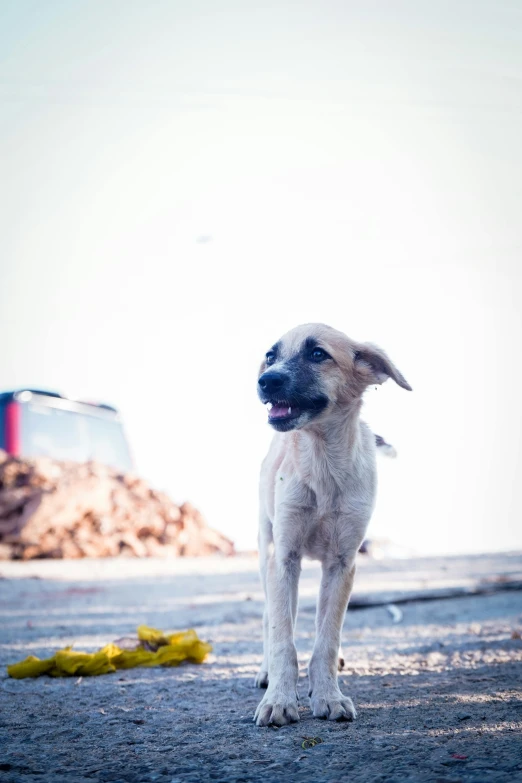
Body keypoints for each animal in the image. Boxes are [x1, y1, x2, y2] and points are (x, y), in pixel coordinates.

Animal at [253, 322, 410, 724]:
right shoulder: (285, 557)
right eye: (271, 355)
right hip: (266, 550)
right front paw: (279, 699)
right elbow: (283, 638)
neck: (322, 463)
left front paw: (327, 695)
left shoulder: (343, 562)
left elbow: (327, 637)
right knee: (271, 615)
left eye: (317, 354)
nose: (265, 381)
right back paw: (265, 671)